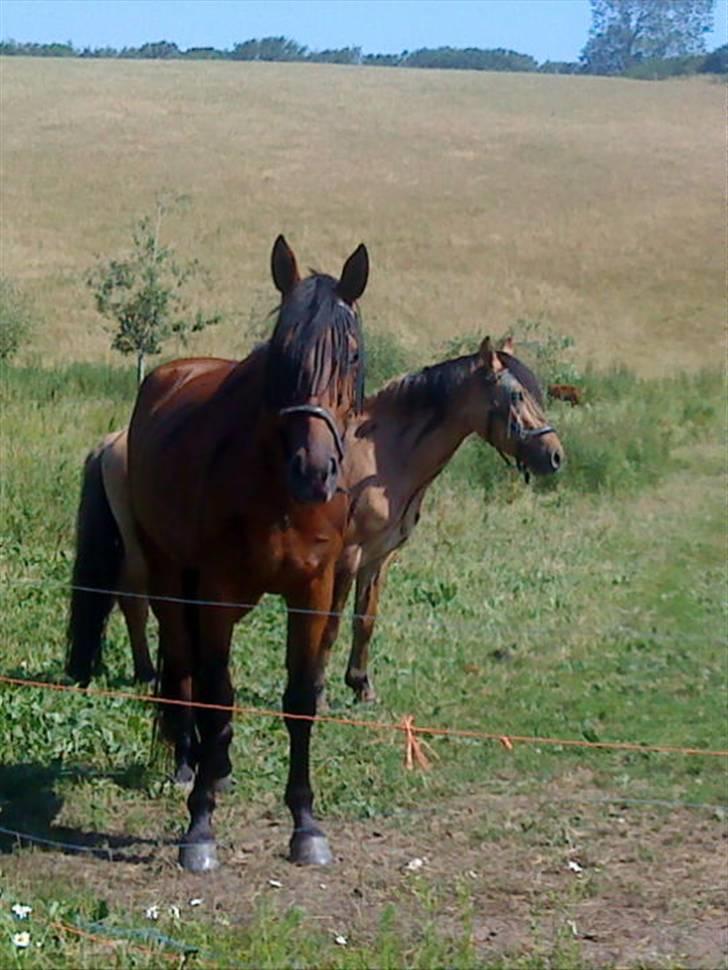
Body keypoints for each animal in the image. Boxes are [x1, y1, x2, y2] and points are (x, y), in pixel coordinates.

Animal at [66, 235, 369, 873]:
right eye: (282, 353)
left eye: (351, 356)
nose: (314, 472)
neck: (275, 489)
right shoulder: (216, 591)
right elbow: (218, 696)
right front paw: (200, 826)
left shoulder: (314, 591)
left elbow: (300, 700)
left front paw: (306, 826)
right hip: (167, 575)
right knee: (183, 667)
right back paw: (190, 762)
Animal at [73, 337, 562, 712]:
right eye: (516, 396)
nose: (554, 456)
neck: (382, 457)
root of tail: (114, 441)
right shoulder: (344, 559)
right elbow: (329, 626)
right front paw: (322, 693)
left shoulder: (378, 559)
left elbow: (365, 621)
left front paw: (362, 686)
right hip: (144, 545)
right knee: (134, 598)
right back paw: (147, 672)